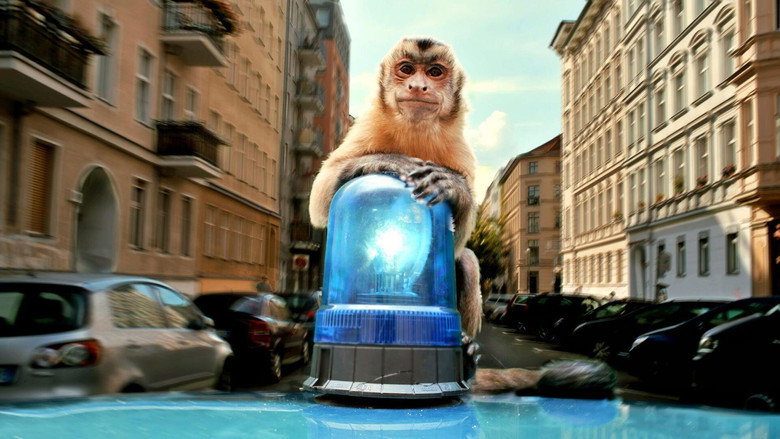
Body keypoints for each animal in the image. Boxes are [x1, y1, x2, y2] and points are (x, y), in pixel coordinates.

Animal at [309, 37, 482, 338]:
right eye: (407, 69)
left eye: (435, 72)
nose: (418, 86)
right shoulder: (366, 127)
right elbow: (319, 201)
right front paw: (387, 160)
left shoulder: (459, 147)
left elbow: (457, 244)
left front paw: (452, 186)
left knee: (468, 261)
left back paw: (466, 340)